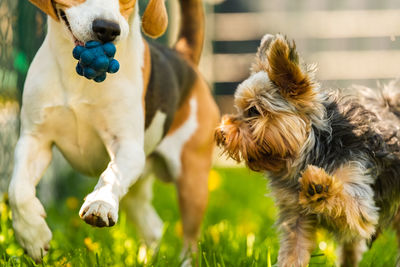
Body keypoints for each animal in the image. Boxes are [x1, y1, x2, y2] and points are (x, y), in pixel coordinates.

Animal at [8, 0, 219, 262]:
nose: (107, 29)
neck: (77, 73)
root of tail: (184, 58)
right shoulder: (35, 140)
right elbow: (17, 191)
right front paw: (32, 236)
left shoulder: (127, 147)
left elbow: (110, 175)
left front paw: (101, 203)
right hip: (137, 190)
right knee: (153, 228)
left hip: (192, 182)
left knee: (191, 242)